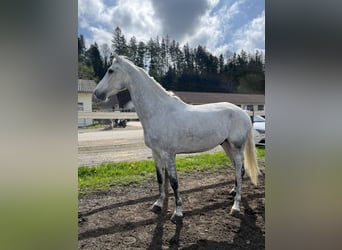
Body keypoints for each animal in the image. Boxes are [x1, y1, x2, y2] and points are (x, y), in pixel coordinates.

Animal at [93, 53, 260, 224]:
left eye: (111, 70)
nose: (97, 93)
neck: (159, 111)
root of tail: (243, 112)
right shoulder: (156, 153)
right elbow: (160, 179)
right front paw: (158, 205)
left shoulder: (169, 154)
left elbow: (174, 182)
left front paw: (177, 212)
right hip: (226, 145)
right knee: (237, 169)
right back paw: (233, 191)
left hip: (237, 146)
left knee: (240, 169)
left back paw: (236, 207)